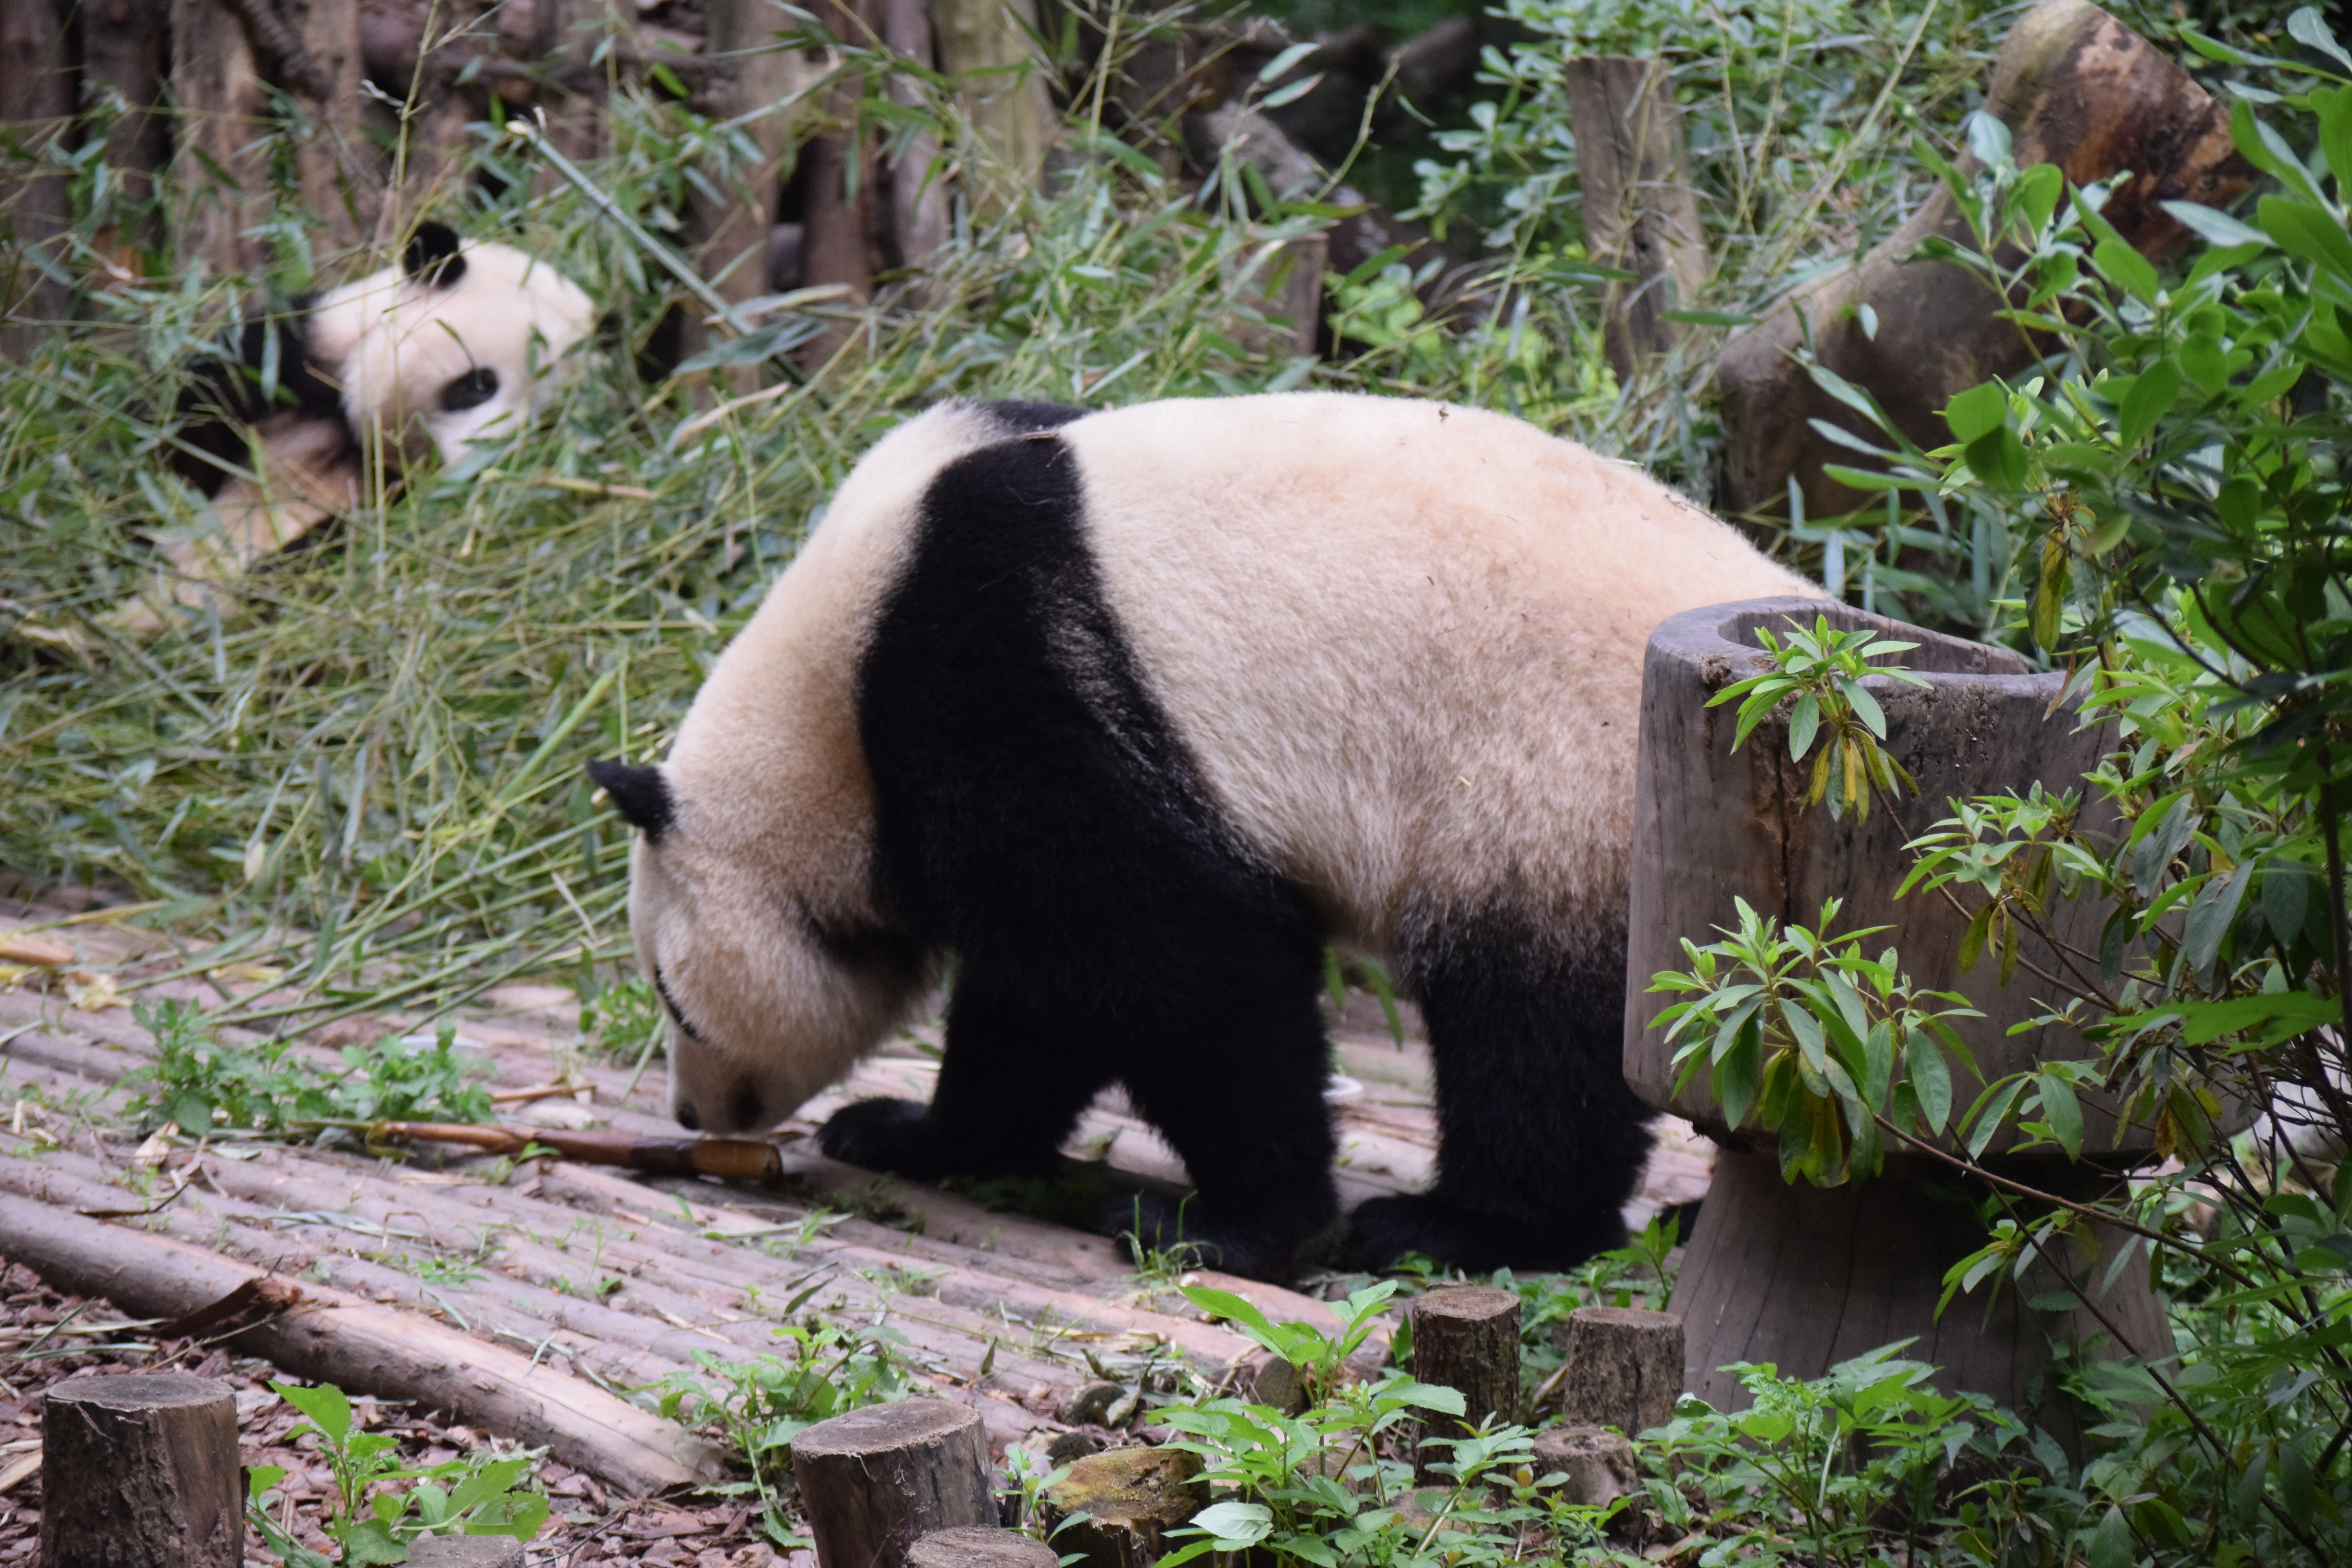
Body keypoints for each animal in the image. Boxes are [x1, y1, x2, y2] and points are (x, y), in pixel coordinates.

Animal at [589, 392, 1823, 1280]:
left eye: (674, 1000)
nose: (696, 1113)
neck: (831, 689)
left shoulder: (1009, 672)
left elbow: (1176, 961)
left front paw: (1229, 1226)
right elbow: (1040, 1000)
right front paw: (910, 1131)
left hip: (1564, 802)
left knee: (1534, 1031)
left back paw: (1459, 1228)